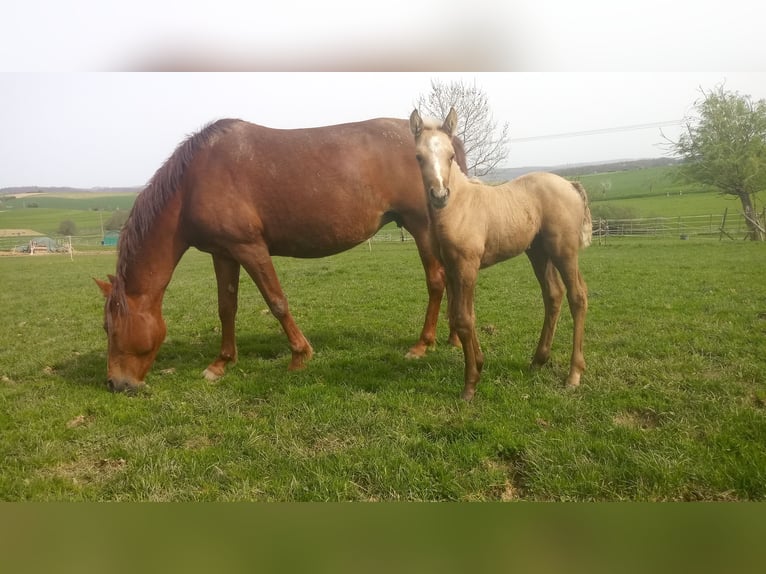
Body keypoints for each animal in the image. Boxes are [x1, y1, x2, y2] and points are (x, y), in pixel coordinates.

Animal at [96, 118, 468, 394]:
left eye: (109, 328)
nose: (116, 383)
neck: (194, 183)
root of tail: (445, 140)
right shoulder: (223, 253)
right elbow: (226, 308)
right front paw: (221, 363)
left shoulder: (250, 248)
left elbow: (276, 301)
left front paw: (300, 355)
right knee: (450, 279)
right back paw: (452, 338)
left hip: (420, 226)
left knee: (436, 280)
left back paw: (422, 345)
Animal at [412, 110, 592, 402]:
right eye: (419, 156)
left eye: (451, 155)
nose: (439, 195)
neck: (458, 208)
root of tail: (570, 184)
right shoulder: (452, 268)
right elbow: (462, 315)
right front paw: (479, 364)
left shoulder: (467, 267)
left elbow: (464, 319)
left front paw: (470, 385)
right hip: (538, 253)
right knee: (553, 294)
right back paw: (538, 360)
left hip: (563, 251)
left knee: (577, 297)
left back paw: (573, 375)